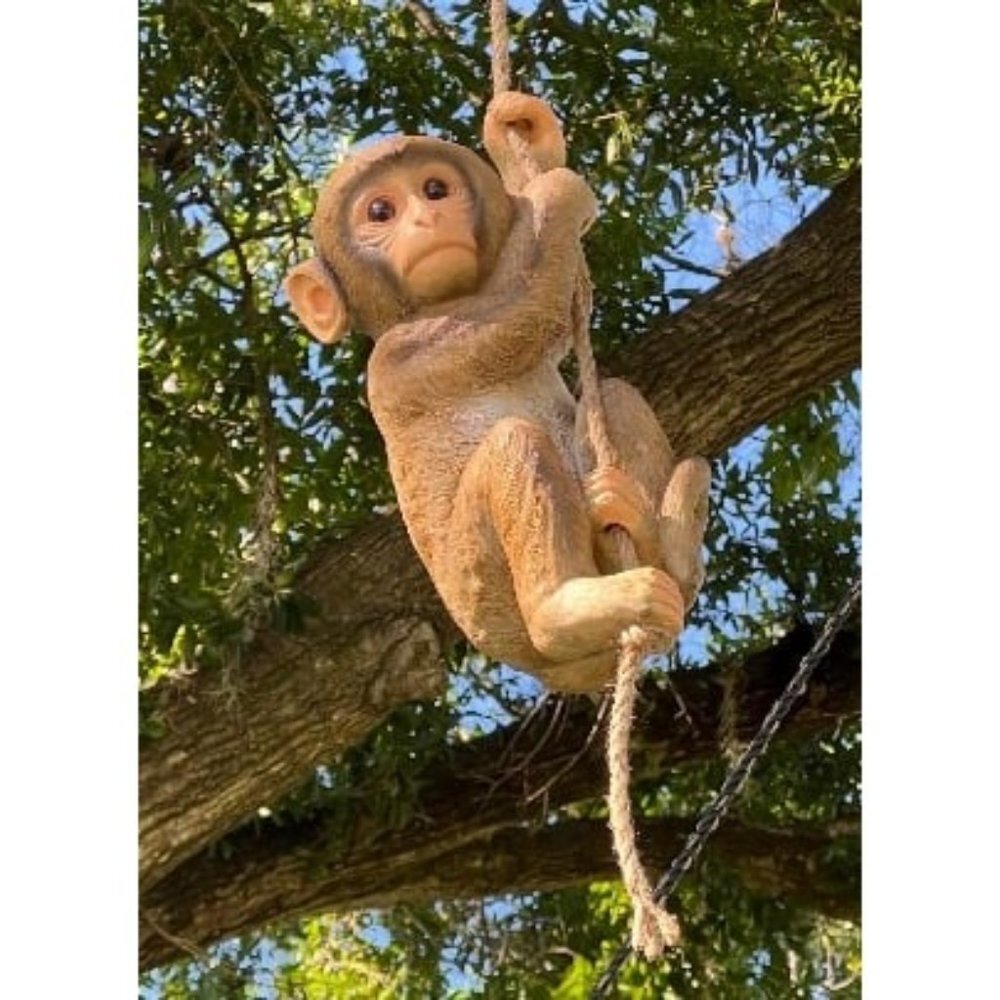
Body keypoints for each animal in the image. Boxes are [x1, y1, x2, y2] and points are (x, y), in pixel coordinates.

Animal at [285, 93, 710, 693]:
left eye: (435, 188)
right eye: (380, 211)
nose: (426, 216)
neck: (435, 304)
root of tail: (563, 673)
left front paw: (528, 146)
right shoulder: (404, 356)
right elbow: (521, 315)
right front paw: (557, 189)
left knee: (614, 396)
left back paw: (658, 544)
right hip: (485, 595)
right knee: (515, 444)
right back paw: (566, 606)